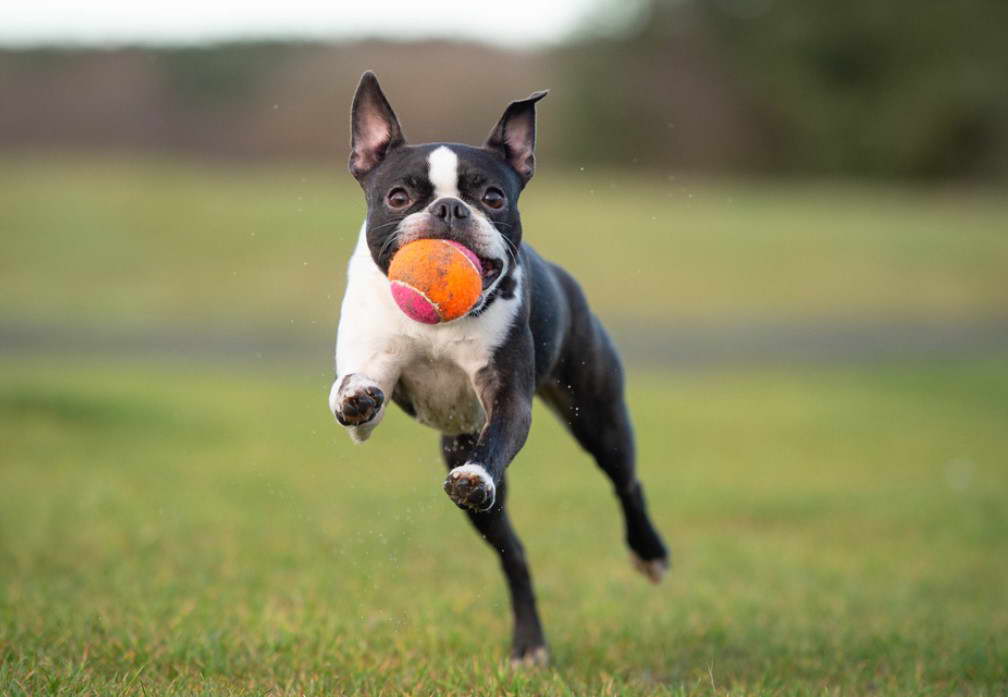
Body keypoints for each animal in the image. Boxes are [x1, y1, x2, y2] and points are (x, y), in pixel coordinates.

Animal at [326, 73, 665, 669]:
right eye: (398, 197)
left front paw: (476, 475)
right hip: (470, 466)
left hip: (597, 415)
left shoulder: (508, 397)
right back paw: (528, 644)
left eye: (493, 197)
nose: (449, 209)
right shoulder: (372, 369)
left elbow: (501, 436)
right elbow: (356, 392)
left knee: (626, 481)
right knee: (515, 556)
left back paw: (648, 554)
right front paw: (355, 396)